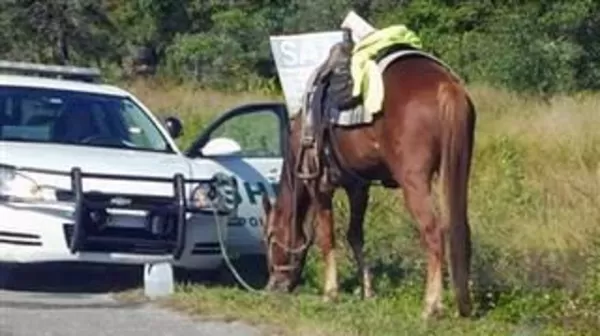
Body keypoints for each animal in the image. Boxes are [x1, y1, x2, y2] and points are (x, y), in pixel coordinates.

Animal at [260, 46, 476, 318]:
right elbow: (355, 236)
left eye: (270, 237)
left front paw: (330, 292)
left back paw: (430, 305)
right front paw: (368, 291)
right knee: (460, 229)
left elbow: (327, 237)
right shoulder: (358, 188)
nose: (272, 285)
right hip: (457, 170)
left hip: (414, 182)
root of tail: (445, 85)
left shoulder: (320, 186)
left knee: (434, 232)